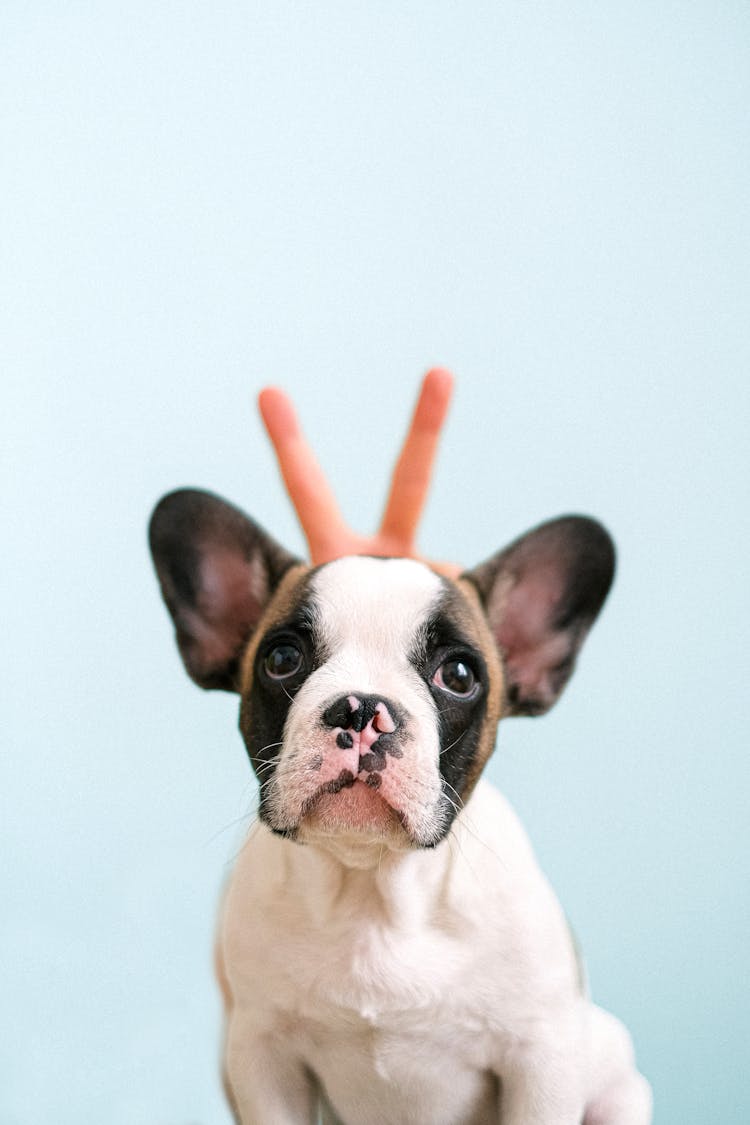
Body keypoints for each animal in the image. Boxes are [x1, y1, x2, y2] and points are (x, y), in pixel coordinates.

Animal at [148, 486, 652, 1125]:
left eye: (458, 674)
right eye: (282, 660)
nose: (362, 707)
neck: (374, 892)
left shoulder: (542, 1060)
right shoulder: (262, 1057)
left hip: (619, 1081)